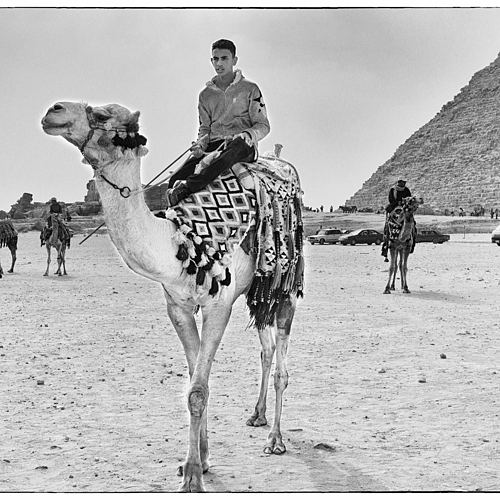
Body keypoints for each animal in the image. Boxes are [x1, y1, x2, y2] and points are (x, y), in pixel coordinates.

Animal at [41, 101, 302, 492]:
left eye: (102, 114)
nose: (53, 111)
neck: (181, 240)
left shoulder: (218, 305)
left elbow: (198, 390)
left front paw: (193, 475)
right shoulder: (177, 306)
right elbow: (195, 379)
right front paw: (201, 460)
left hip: (285, 282)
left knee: (281, 360)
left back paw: (275, 440)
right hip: (257, 291)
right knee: (266, 349)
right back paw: (257, 416)